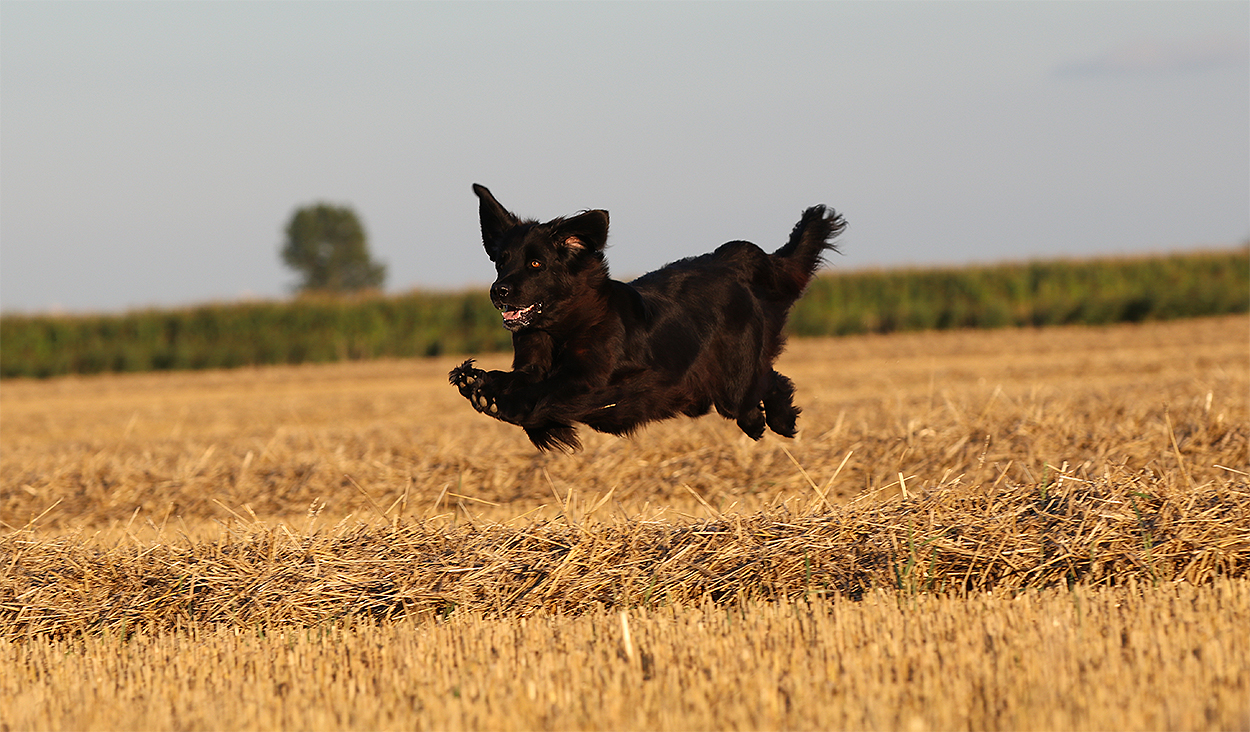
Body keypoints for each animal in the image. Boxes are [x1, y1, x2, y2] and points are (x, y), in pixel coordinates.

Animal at [449, 184, 845, 452]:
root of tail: (734, 261)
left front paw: (500, 401)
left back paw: (779, 419)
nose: (498, 291)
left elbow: (543, 393)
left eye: (535, 264)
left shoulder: (592, 381)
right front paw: (477, 380)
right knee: (764, 385)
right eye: (501, 261)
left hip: (733, 381)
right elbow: (520, 378)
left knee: (765, 384)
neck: (559, 330)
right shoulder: (532, 365)